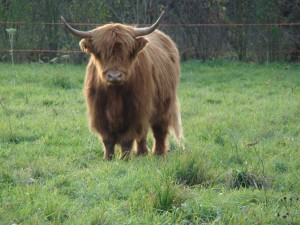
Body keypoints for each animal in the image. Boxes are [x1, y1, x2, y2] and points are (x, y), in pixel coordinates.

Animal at [61, 12, 183, 160]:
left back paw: (158, 154)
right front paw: (108, 158)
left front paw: (124, 159)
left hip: (164, 104)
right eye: (101, 52)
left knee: (159, 130)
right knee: (143, 133)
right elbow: (107, 139)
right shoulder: (99, 112)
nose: (114, 76)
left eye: (127, 52)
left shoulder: (136, 110)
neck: (115, 94)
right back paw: (141, 153)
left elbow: (127, 139)